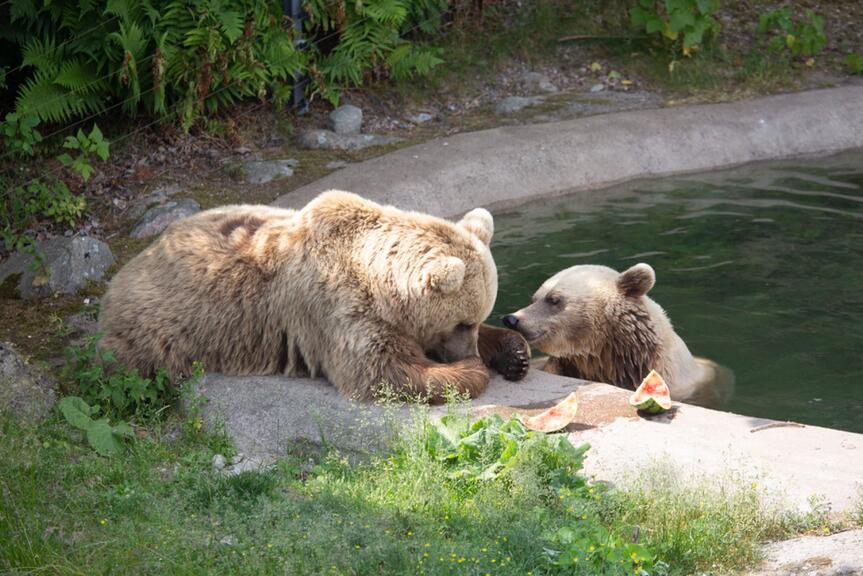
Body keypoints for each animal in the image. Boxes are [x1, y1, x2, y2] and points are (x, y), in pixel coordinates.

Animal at [98, 191, 528, 402]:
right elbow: (381, 371)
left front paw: (515, 354)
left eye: (477, 318)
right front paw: (469, 370)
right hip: (157, 331)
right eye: (462, 321)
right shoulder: (336, 307)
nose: (467, 351)